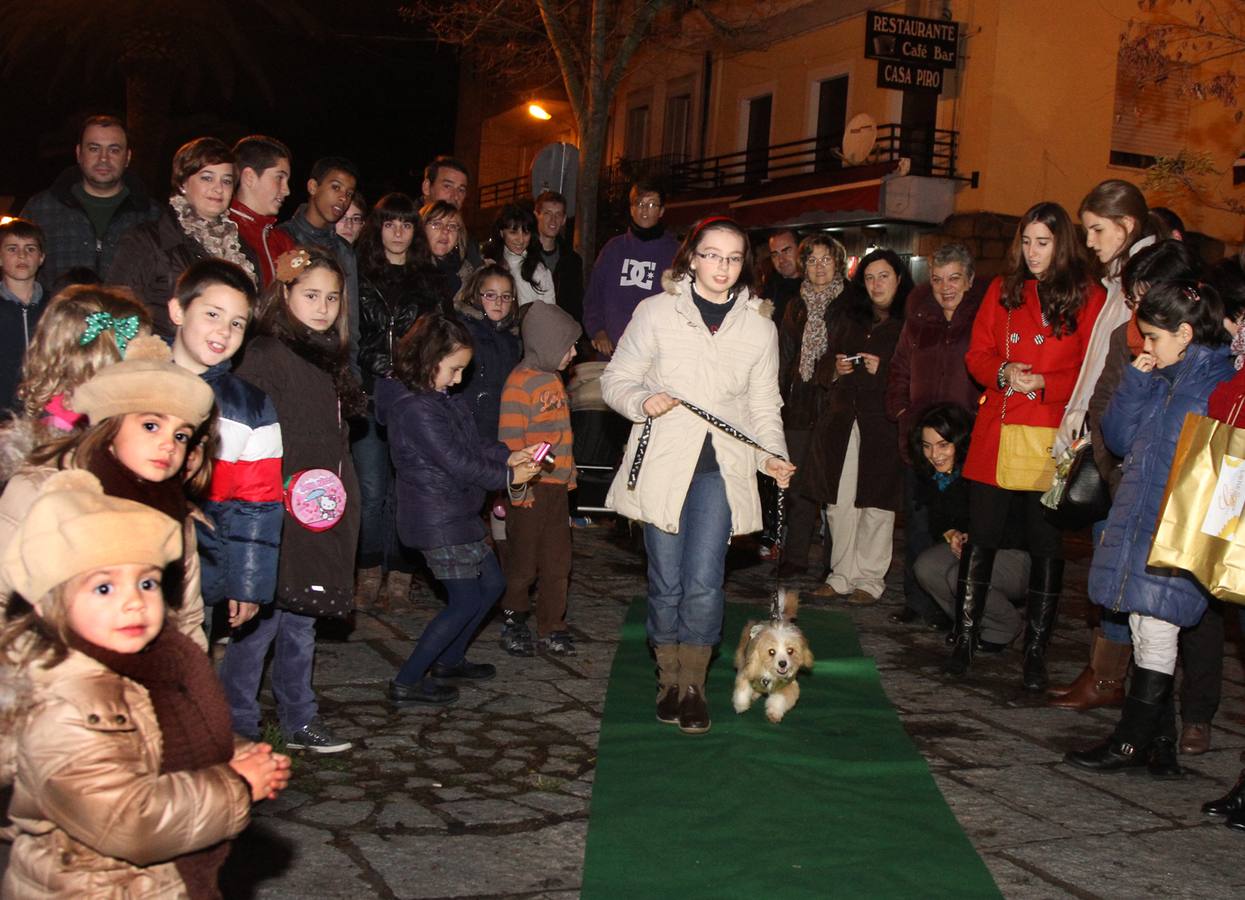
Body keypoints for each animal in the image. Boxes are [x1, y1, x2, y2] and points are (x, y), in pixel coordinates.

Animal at [732, 592, 811, 726]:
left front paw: (774, 714)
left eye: (790, 651)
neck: (770, 674)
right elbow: (742, 691)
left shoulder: (788, 685)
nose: (783, 663)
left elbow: (779, 700)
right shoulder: (747, 672)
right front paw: (741, 706)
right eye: (771, 652)